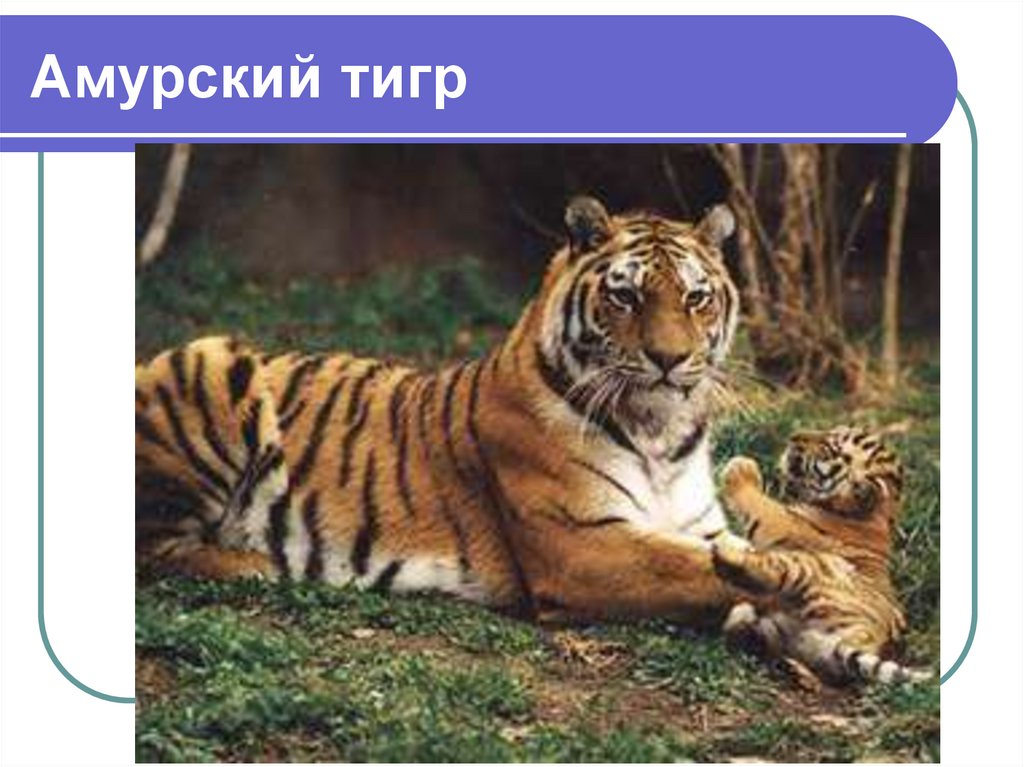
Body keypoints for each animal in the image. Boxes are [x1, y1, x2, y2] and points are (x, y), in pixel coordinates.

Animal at [136, 195, 760, 624]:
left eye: (696, 298)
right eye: (625, 296)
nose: (669, 358)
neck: (659, 432)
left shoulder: (699, 526)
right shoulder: (580, 543)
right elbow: (704, 570)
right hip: (209, 358)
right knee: (152, 551)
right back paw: (259, 565)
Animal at [710, 426, 932, 684]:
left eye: (831, 447)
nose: (794, 436)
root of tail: (864, 635)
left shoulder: (783, 522)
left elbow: (762, 504)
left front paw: (741, 466)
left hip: (808, 567)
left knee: (767, 570)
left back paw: (726, 552)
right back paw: (789, 666)